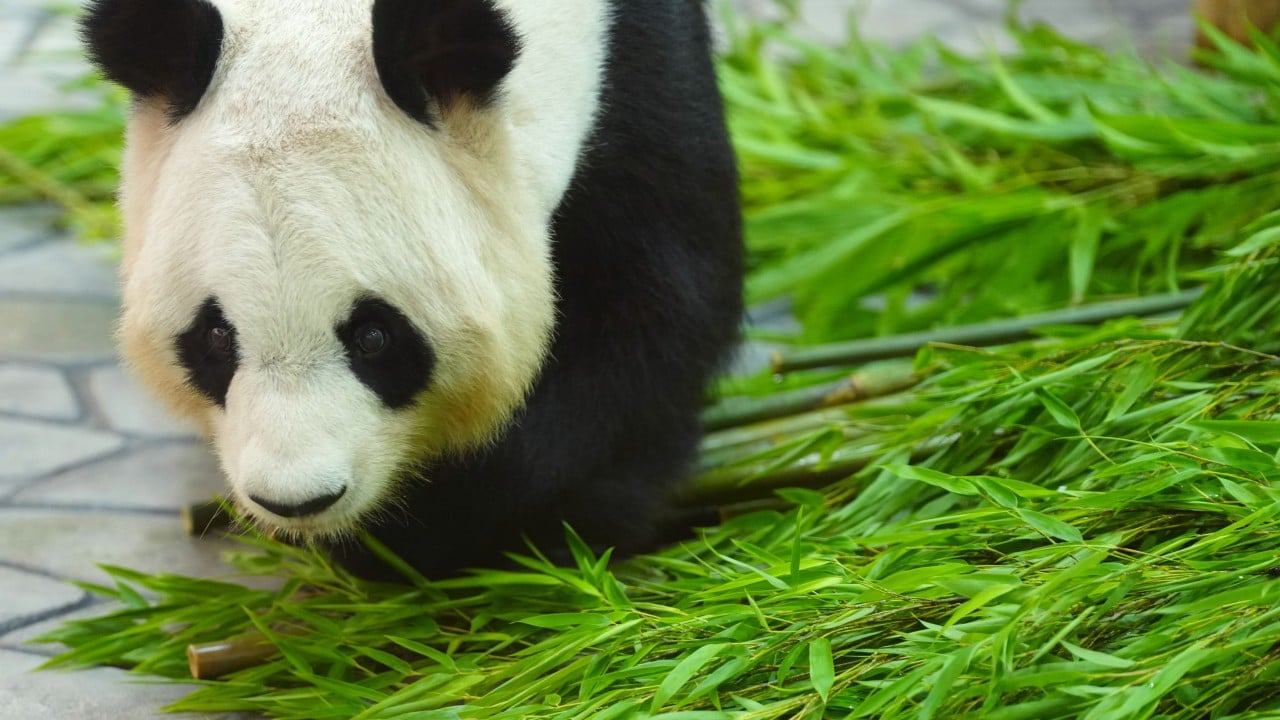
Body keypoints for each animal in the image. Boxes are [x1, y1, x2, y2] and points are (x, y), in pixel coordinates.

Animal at [80, 0, 743, 578]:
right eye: (216, 336)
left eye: (374, 336)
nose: (298, 501)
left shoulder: (637, 74)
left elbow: (650, 319)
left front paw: (450, 523)